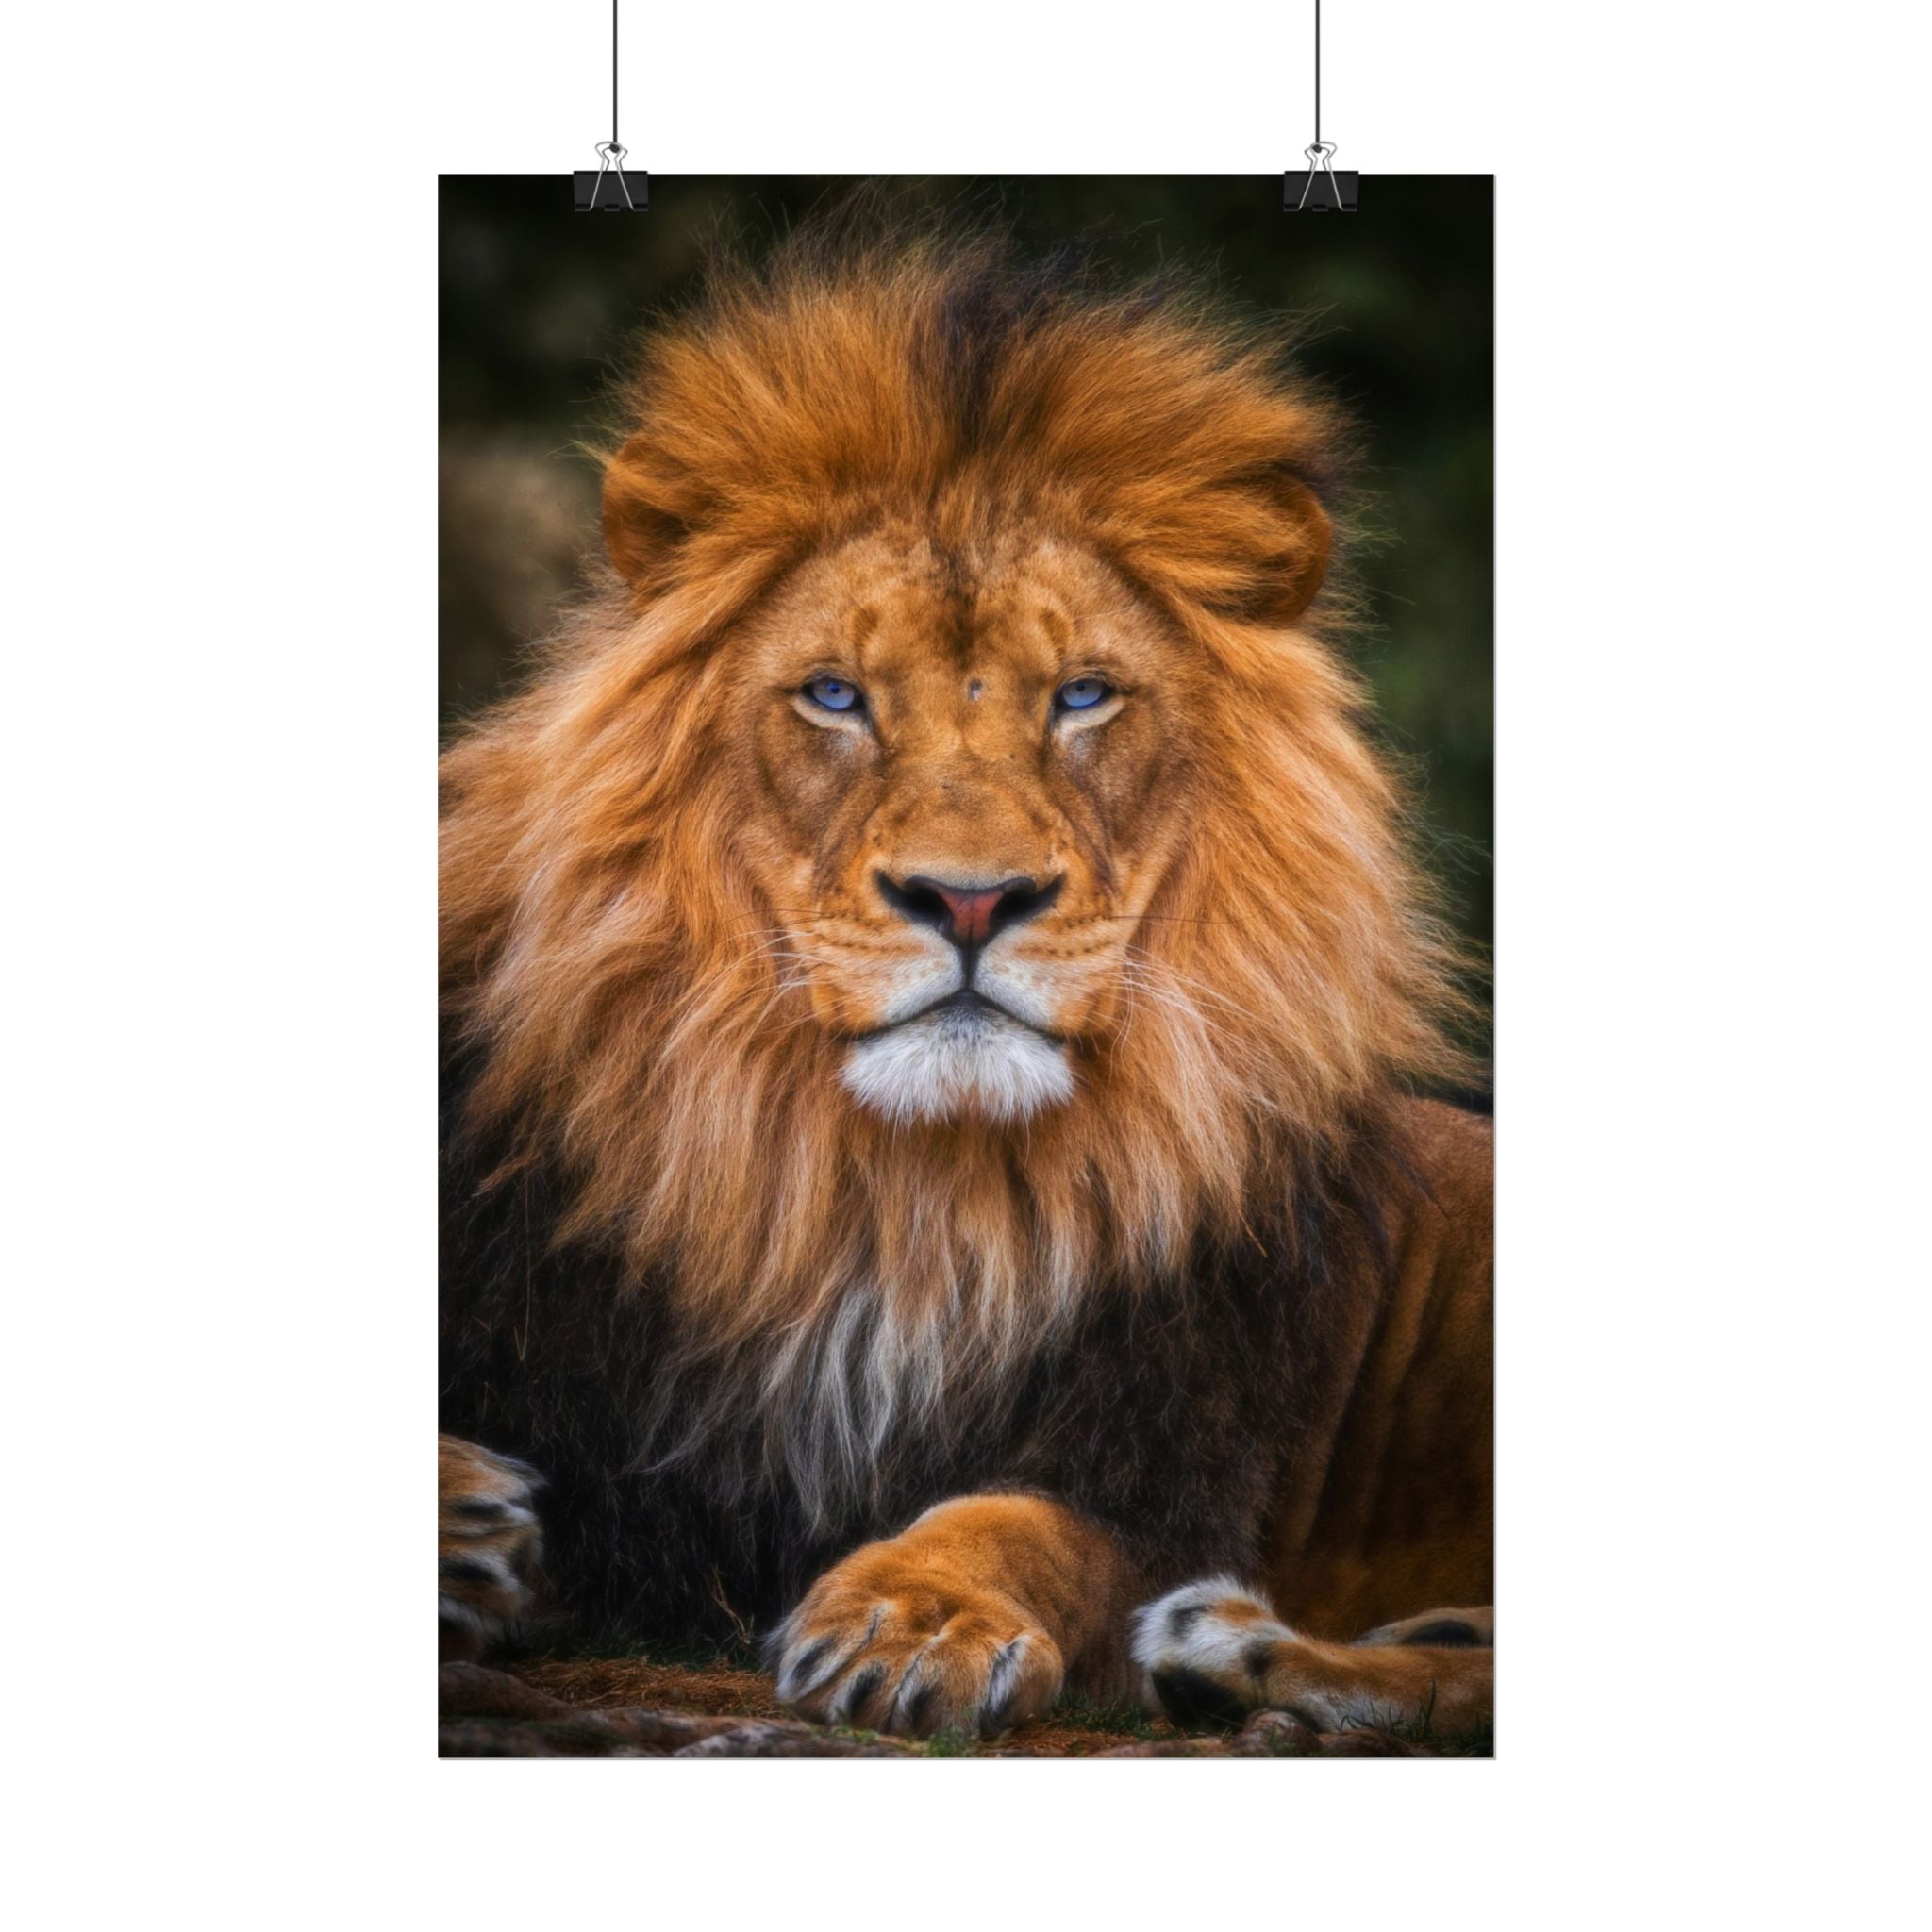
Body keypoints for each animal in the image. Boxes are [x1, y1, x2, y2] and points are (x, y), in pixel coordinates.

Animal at [438, 226, 1493, 1747]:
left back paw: (1239, 1649)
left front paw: (913, 1616)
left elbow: (1022, 1523)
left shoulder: (1165, 1462)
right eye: (833, 695)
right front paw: (463, 1519)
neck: (893, 1197)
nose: (972, 899)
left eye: (1083, 696)